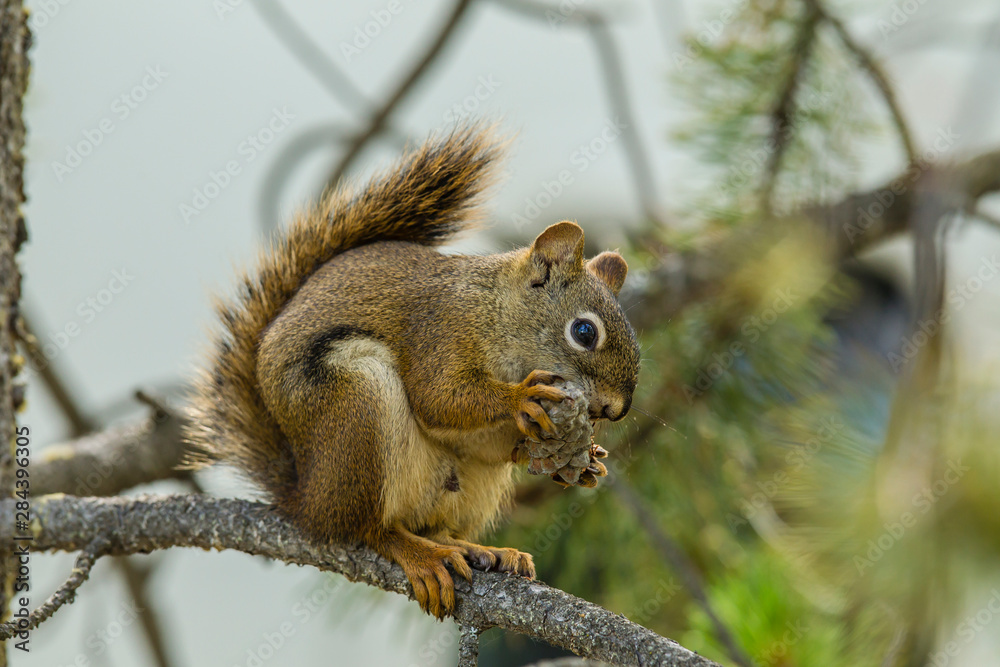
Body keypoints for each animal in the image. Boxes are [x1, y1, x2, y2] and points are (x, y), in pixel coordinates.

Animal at [183, 125, 641, 618]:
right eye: (583, 331)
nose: (616, 410)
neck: (497, 312)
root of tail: (307, 500)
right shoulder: (441, 334)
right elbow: (438, 397)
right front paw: (520, 398)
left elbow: (484, 440)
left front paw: (580, 461)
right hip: (357, 406)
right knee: (366, 529)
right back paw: (419, 554)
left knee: (435, 523)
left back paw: (482, 550)